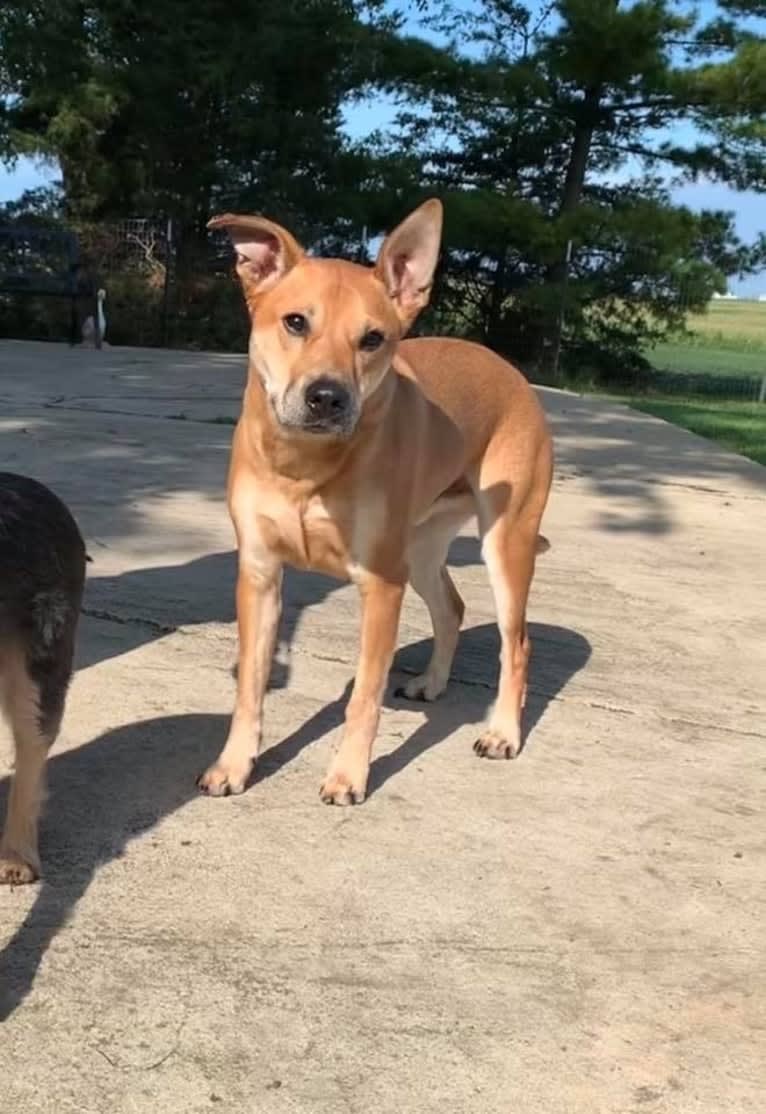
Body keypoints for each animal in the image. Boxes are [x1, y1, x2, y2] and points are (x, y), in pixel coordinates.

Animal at [197, 200, 554, 806]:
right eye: (296, 322)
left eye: (372, 339)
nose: (327, 397)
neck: (308, 467)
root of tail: (509, 370)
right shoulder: (259, 573)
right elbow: (250, 685)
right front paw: (234, 764)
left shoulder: (381, 585)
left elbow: (364, 695)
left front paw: (348, 776)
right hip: (423, 547)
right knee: (452, 608)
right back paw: (432, 683)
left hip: (505, 543)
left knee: (518, 643)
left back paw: (503, 732)